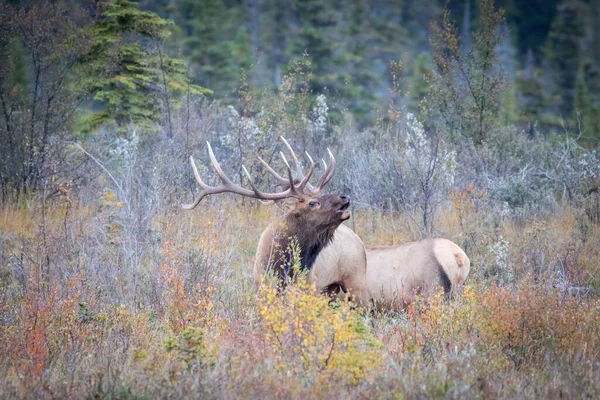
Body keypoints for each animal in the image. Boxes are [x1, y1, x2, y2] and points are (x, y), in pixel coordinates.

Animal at [183, 139, 370, 304]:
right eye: (312, 202)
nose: (345, 196)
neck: (281, 265)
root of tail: (361, 242)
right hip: (333, 288)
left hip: (356, 281)